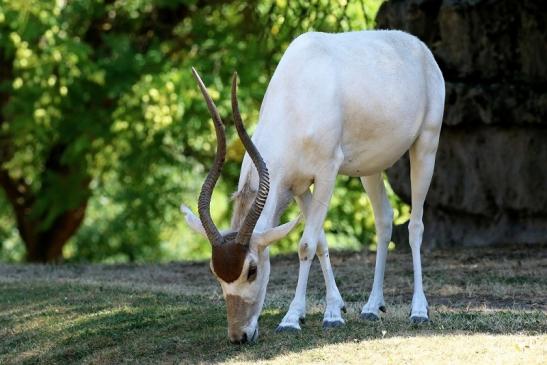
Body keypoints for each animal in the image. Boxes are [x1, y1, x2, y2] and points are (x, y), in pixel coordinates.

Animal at [181, 29, 446, 342]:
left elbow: (306, 244)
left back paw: (419, 311)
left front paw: (296, 318)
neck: (296, 97)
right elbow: (320, 241)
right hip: (370, 167)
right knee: (384, 218)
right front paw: (334, 307)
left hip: (426, 145)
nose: (239, 336)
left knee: (415, 225)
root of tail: (420, 47)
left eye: (252, 270)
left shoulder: (326, 172)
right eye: (215, 272)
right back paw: (372, 306)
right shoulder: (297, 186)